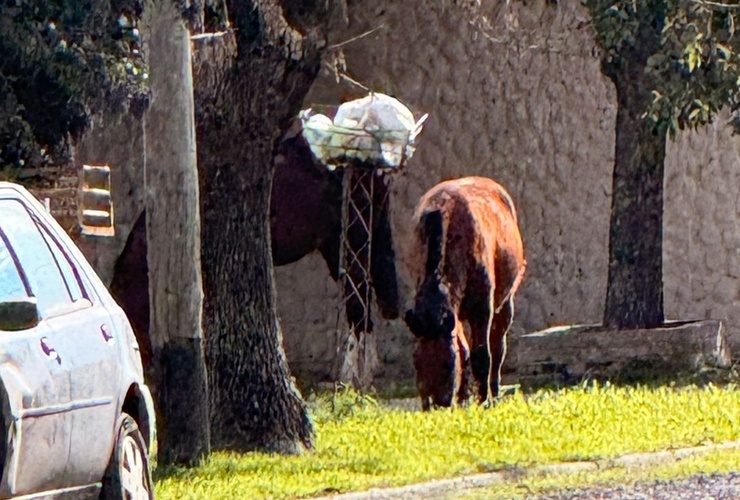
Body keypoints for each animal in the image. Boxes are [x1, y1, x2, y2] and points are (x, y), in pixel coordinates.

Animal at [403, 176, 526, 410]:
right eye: (416, 363)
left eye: (447, 364)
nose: (435, 404)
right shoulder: (453, 313)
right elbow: (464, 350)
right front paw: (464, 399)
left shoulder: (482, 308)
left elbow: (481, 355)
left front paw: (482, 401)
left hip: (506, 304)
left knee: (498, 349)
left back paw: (494, 394)